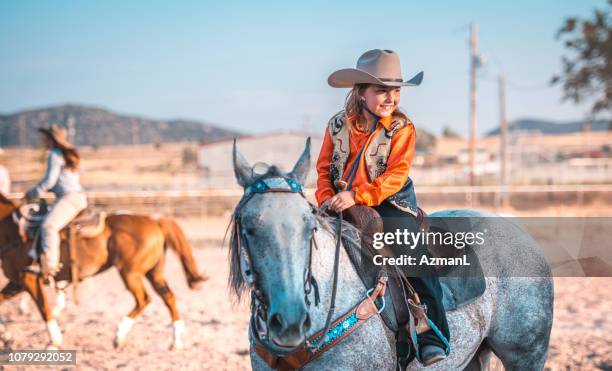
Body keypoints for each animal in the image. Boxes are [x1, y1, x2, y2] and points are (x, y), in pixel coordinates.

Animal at [0, 195, 207, 352]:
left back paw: (119, 336)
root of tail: (154, 220)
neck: (11, 231)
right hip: (153, 272)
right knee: (168, 297)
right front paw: (6, 337)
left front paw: (53, 342)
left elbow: (44, 309)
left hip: (130, 273)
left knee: (143, 299)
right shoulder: (16, 283)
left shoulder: (28, 278)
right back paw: (175, 342)